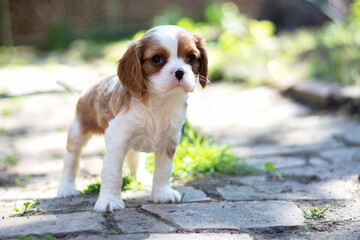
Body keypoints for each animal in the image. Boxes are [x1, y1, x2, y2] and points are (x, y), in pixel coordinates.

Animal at [56, 24, 208, 212]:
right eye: (157, 59)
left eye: (191, 58)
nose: (179, 72)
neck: (159, 101)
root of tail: (88, 88)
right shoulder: (117, 139)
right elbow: (112, 173)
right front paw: (109, 200)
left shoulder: (169, 141)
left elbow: (163, 169)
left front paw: (162, 193)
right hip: (79, 130)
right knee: (71, 159)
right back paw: (66, 188)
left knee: (134, 156)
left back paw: (142, 177)